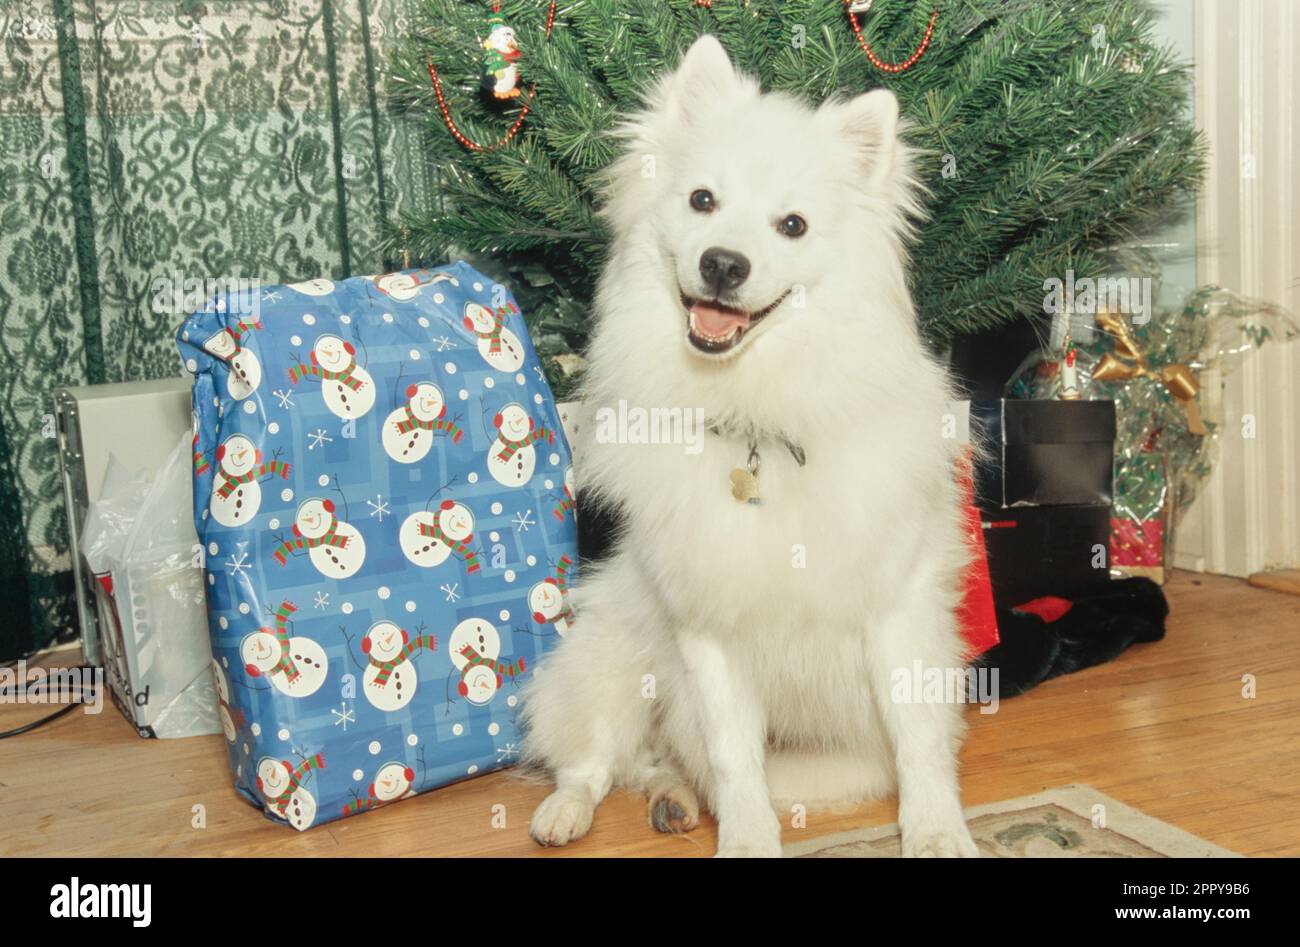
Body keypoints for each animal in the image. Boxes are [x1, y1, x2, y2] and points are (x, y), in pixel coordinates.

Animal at [517, 35, 977, 858]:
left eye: (792, 225)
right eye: (703, 200)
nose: (724, 264)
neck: (754, 410)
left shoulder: (895, 611)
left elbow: (918, 738)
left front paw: (935, 830)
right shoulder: (708, 631)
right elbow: (734, 759)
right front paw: (749, 839)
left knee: (657, 765)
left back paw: (672, 799)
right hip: (612, 661)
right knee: (596, 761)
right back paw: (569, 810)